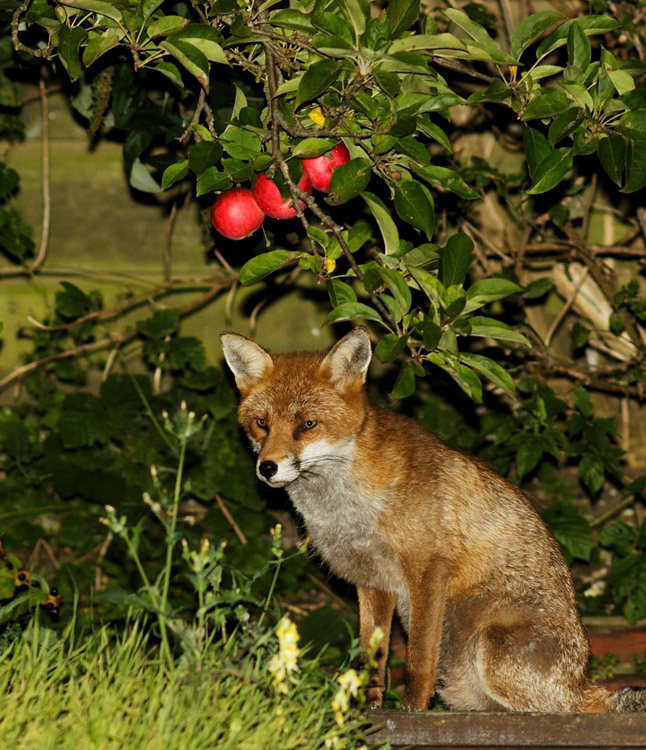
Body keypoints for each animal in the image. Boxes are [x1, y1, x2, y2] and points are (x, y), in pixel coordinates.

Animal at [221, 328, 646, 716]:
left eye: (307, 425)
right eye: (261, 423)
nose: (267, 468)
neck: (348, 509)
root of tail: (584, 678)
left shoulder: (427, 569)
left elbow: (417, 659)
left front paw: (412, 709)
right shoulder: (373, 582)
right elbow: (372, 659)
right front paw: (366, 709)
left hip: (490, 647)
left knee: (568, 708)